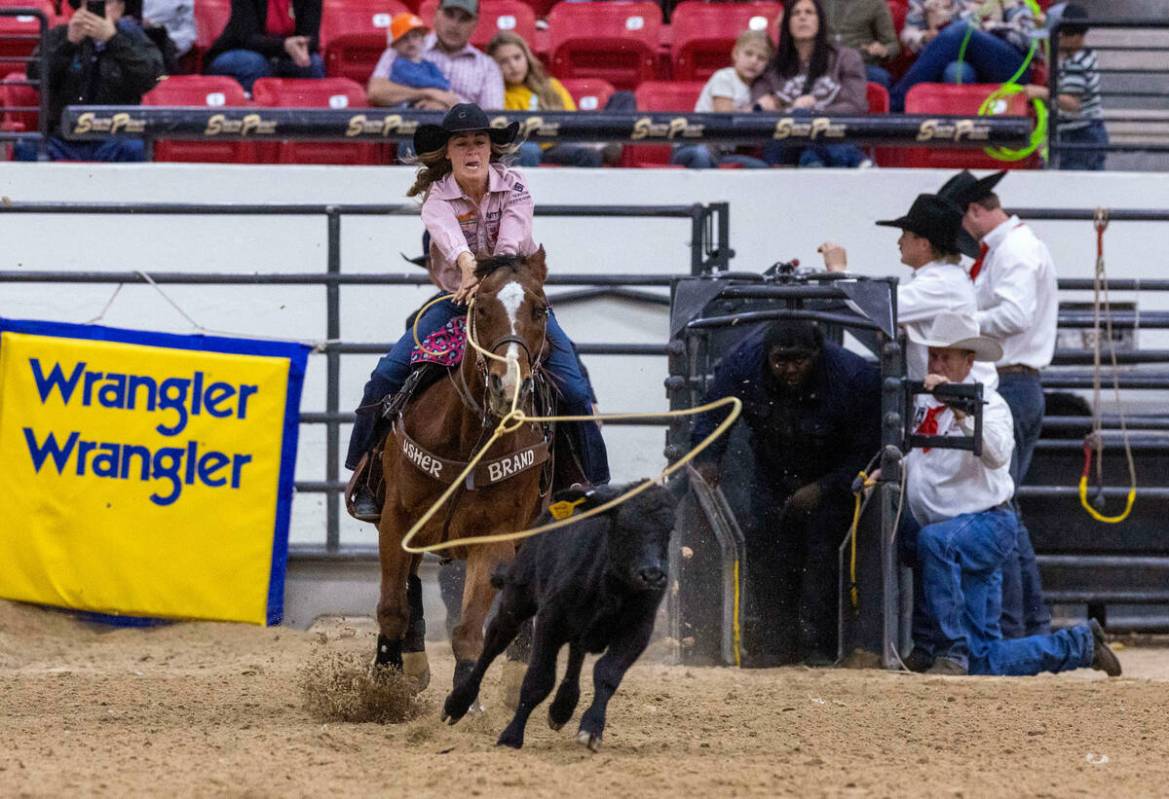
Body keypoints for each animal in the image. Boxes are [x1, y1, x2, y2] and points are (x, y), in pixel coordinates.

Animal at [376, 248, 554, 687]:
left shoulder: (496, 537)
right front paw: (382, 682)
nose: (508, 386)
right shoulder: (396, 520)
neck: (467, 440)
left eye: (540, 310)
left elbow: (469, 631)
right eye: (482, 309)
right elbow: (392, 609)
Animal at [439, 484, 678, 753]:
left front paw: (591, 729)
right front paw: (511, 736)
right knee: (494, 642)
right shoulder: (550, 621)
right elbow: (539, 680)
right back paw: (458, 703)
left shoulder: (637, 632)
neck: (612, 587)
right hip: (516, 601)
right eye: (624, 526)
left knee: (576, 653)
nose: (653, 575)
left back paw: (562, 707)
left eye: (669, 529)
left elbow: (607, 674)